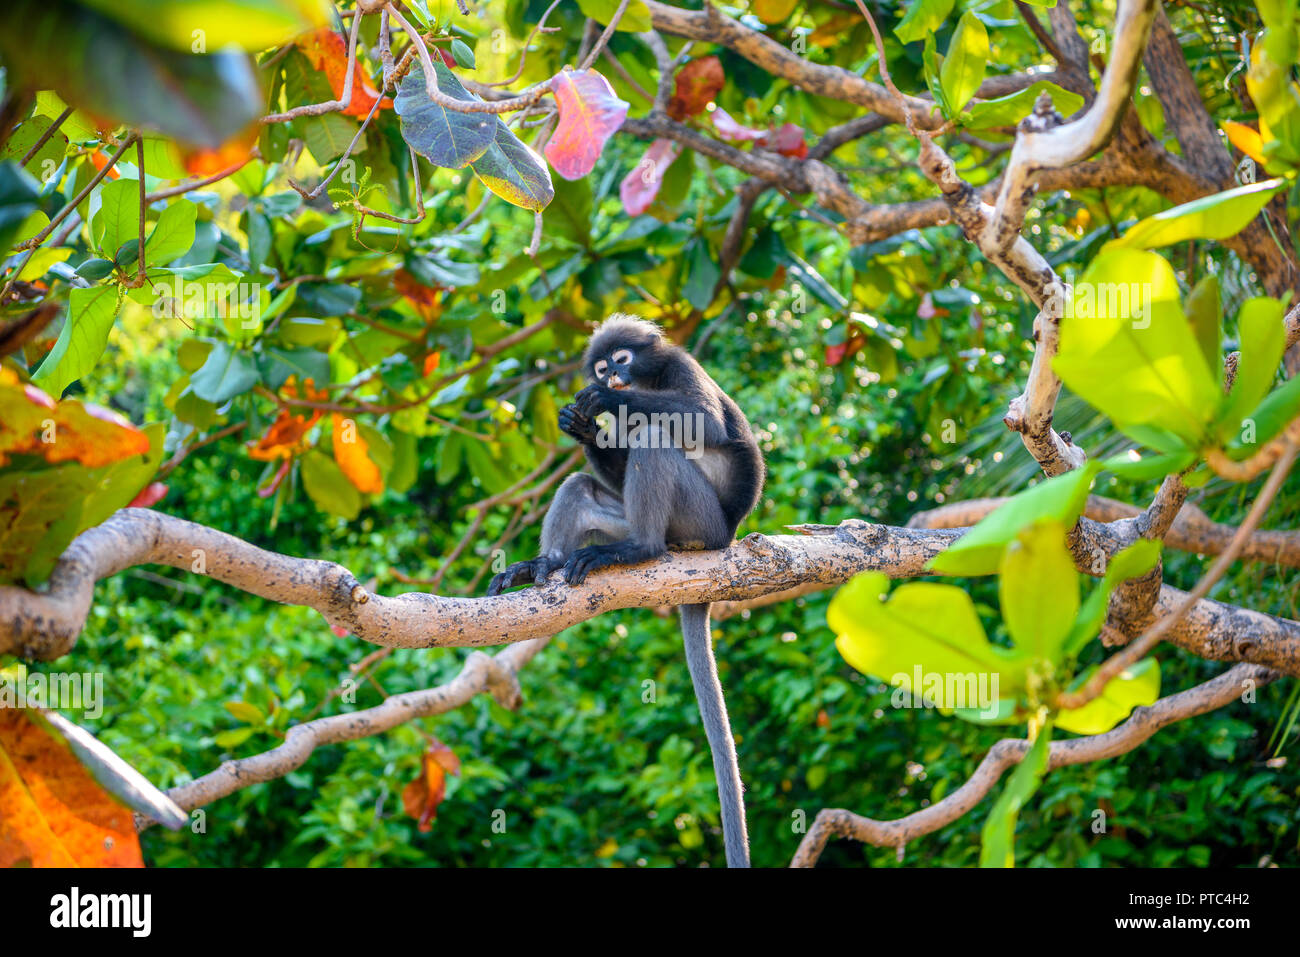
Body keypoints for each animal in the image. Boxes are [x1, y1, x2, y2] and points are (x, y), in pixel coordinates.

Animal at [487, 315, 765, 867]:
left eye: (621, 360)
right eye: (601, 365)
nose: (612, 378)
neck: (649, 382)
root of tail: (725, 536)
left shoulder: (681, 366)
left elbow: (706, 422)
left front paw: (602, 403)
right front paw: (583, 425)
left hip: (700, 521)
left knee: (658, 435)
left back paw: (639, 548)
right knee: (579, 486)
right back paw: (541, 565)